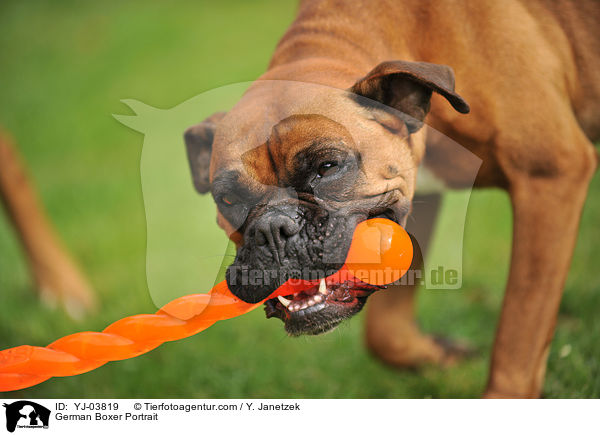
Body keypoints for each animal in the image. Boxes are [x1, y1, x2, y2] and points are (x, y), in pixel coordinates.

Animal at [185, 0, 596, 398]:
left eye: (328, 167)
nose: (273, 228)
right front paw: (436, 356)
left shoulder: (548, 176)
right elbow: (386, 331)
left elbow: (519, 330)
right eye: (227, 198)